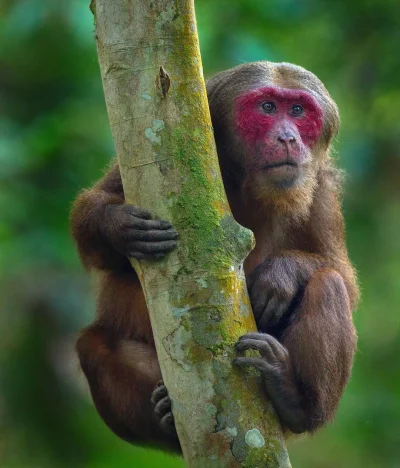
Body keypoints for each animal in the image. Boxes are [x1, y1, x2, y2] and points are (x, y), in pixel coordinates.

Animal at [72, 61, 360, 450]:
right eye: (268, 107)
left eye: (298, 111)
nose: (288, 138)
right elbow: (88, 221)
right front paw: (116, 226)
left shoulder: (321, 187)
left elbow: (341, 274)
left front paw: (281, 274)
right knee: (92, 347)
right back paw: (168, 422)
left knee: (328, 284)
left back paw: (294, 401)